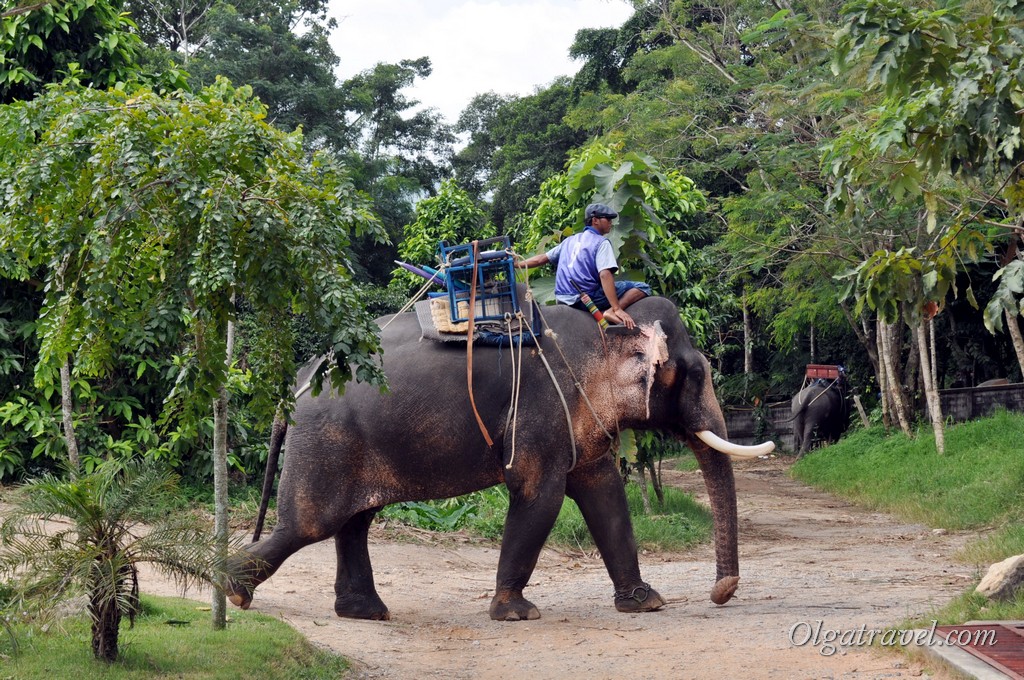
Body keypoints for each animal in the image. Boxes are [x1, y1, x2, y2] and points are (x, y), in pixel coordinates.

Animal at [228, 296, 770, 622]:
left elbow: (604, 494)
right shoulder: (541, 407)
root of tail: (297, 382)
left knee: (354, 522)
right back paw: (235, 590)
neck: (605, 331)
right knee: (310, 524)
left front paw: (646, 603)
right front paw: (516, 613)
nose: (721, 593)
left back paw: (366, 613)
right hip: (327, 440)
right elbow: (540, 494)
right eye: (694, 374)